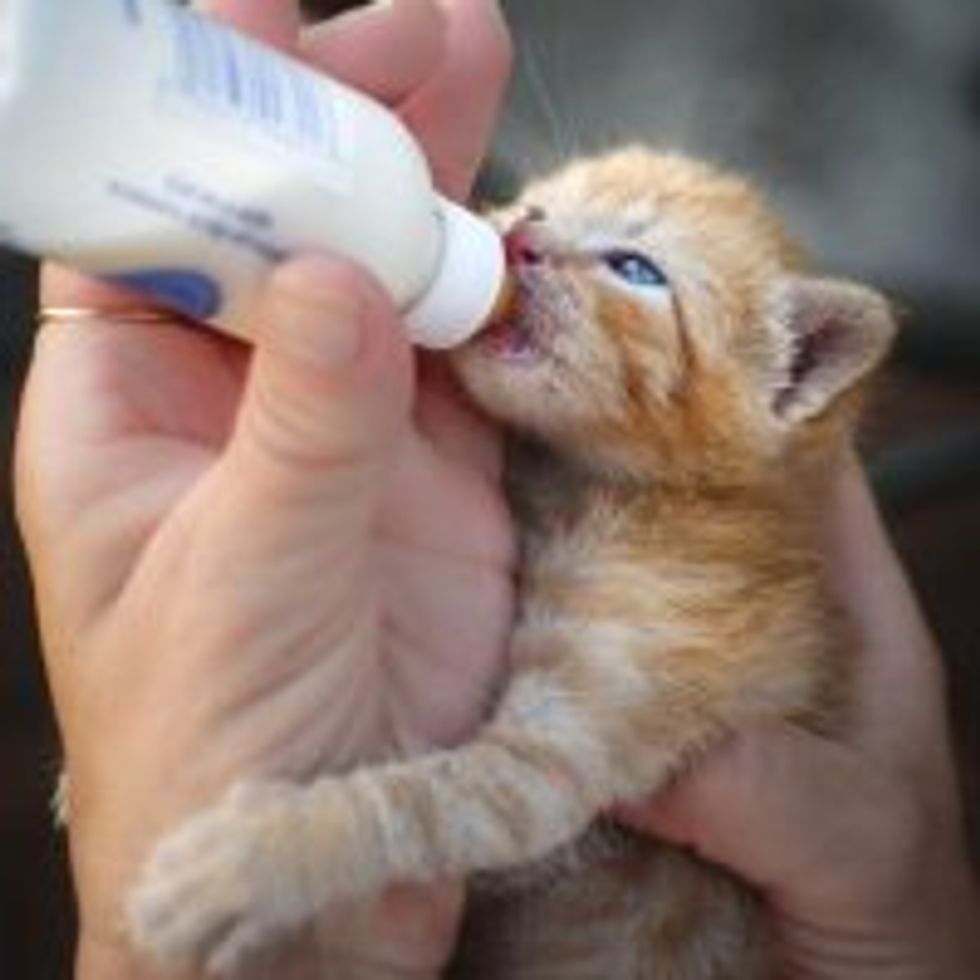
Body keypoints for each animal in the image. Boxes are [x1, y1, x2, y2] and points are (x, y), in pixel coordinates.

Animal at [124, 147, 896, 980]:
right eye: (538, 209)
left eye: (637, 268)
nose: (519, 241)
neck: (582, 489)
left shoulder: (563, 761)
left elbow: (417, 807)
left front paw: (251, 860)